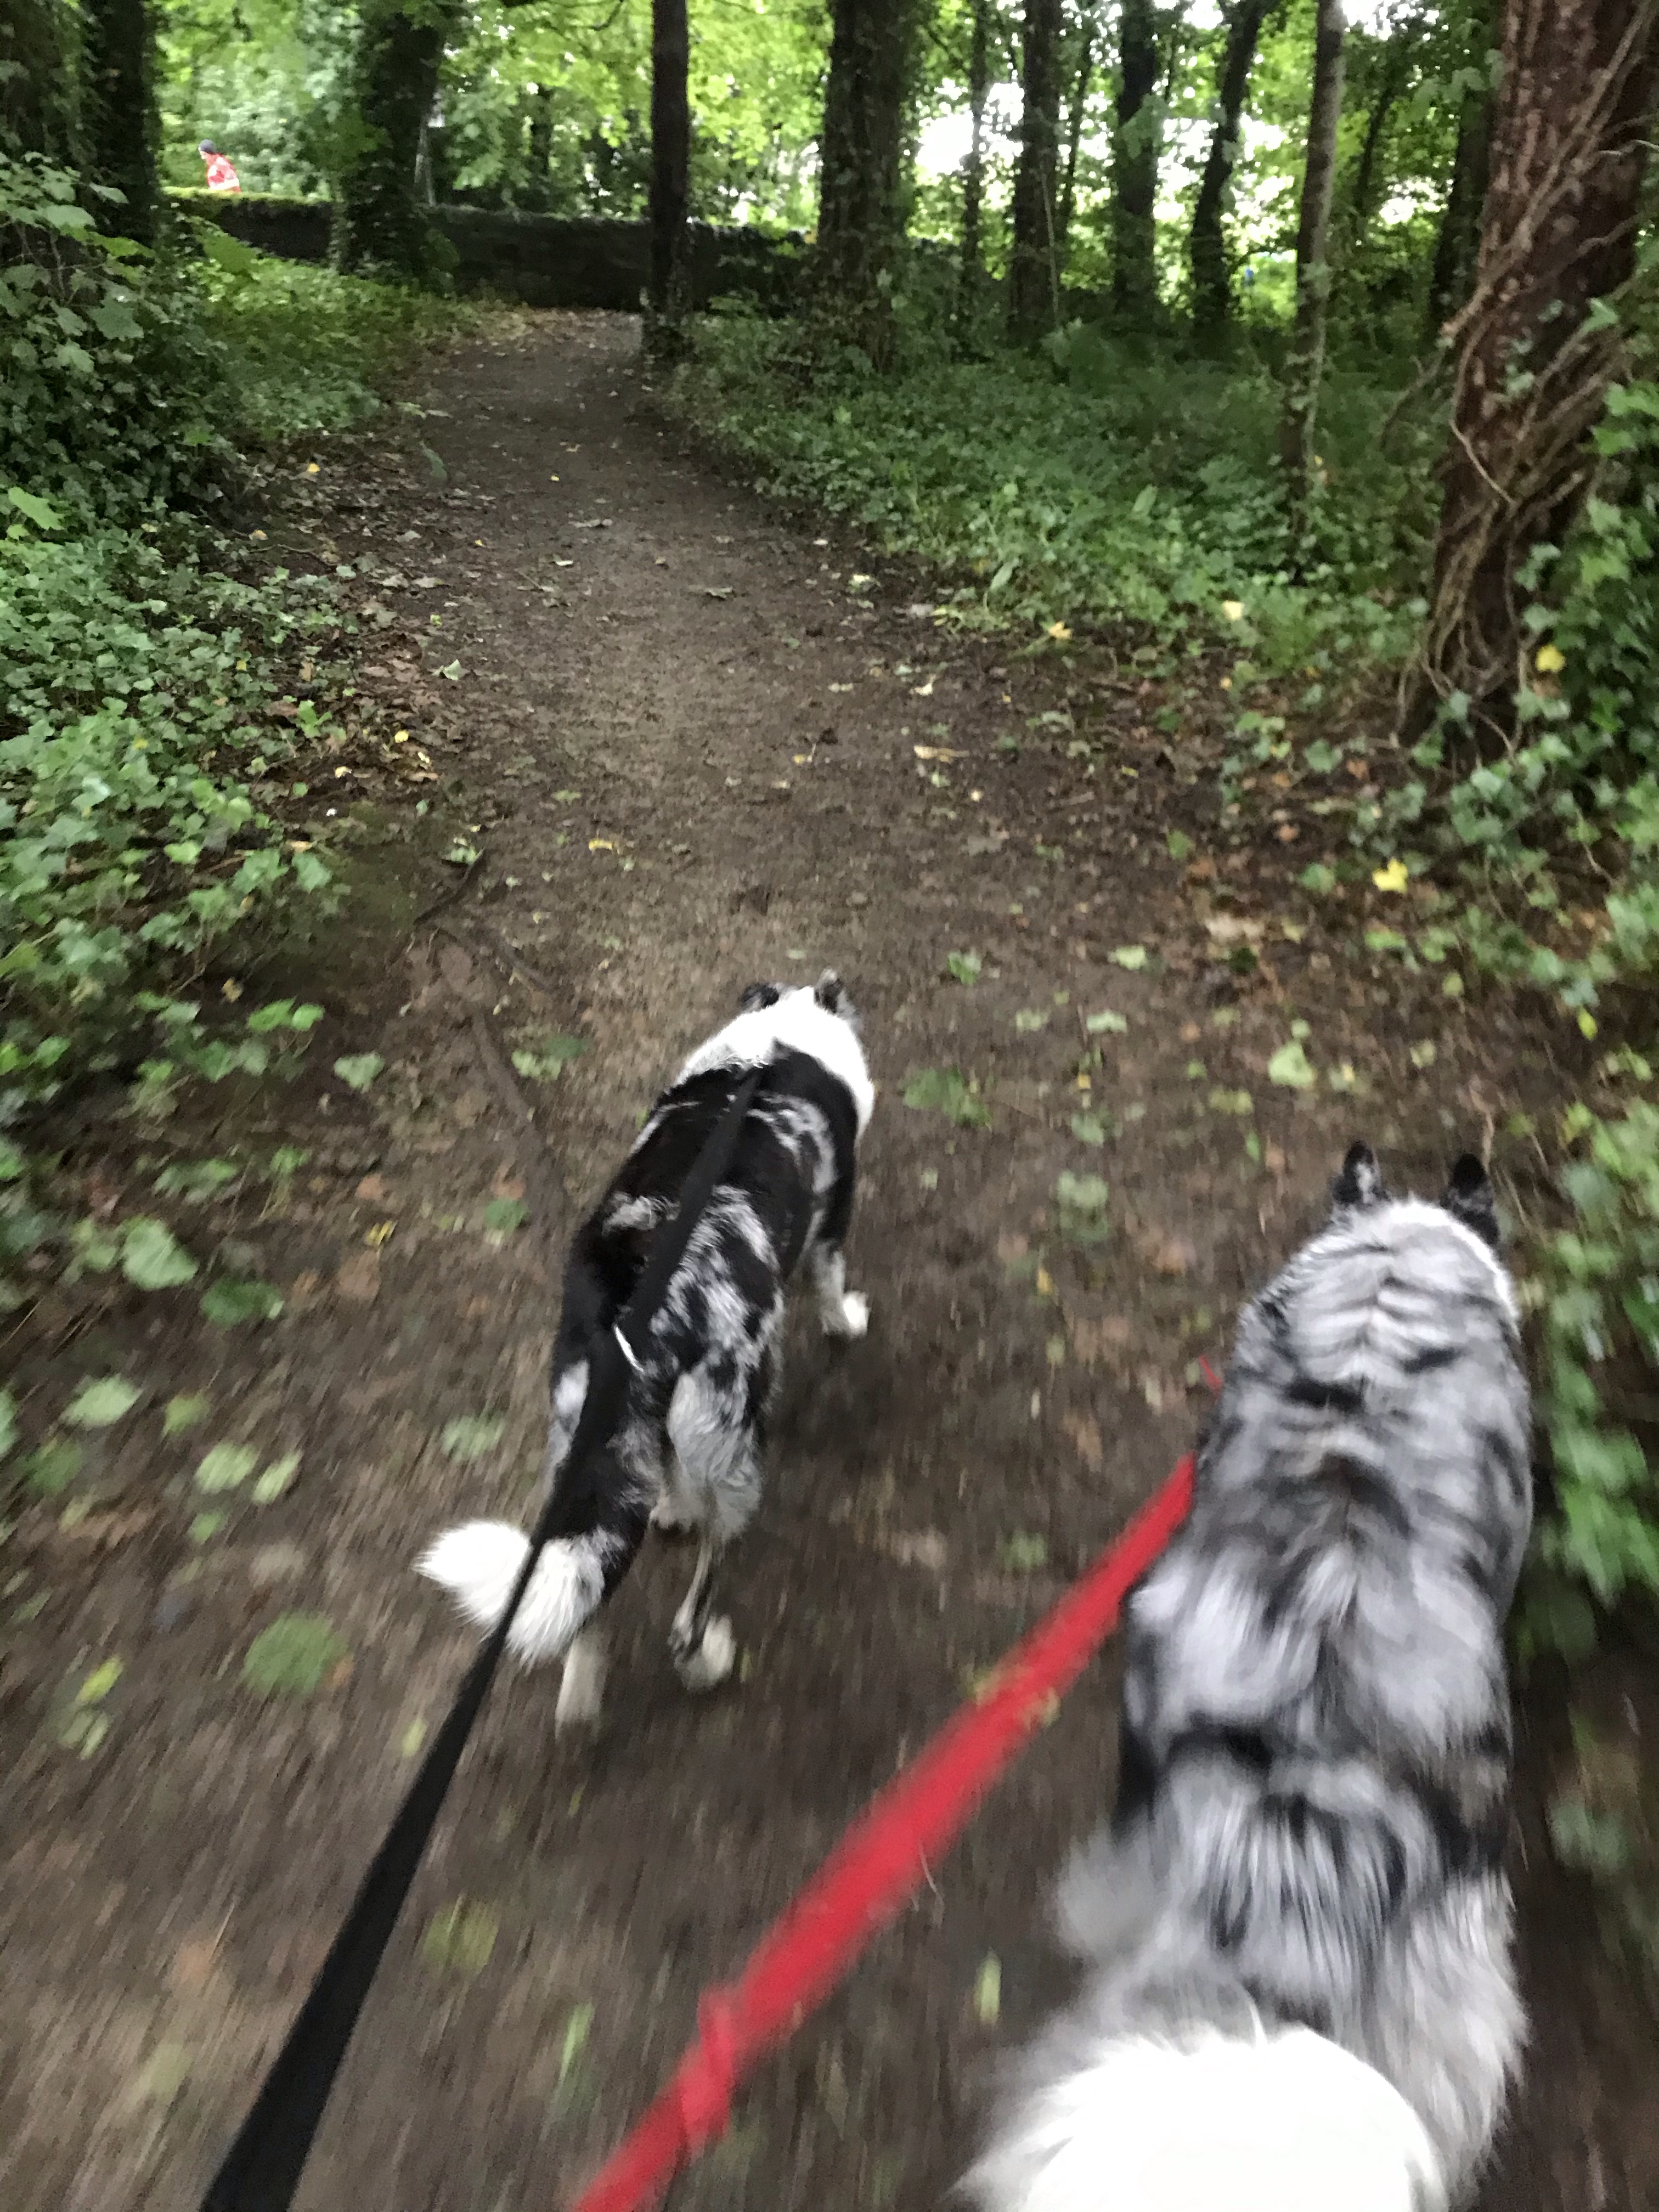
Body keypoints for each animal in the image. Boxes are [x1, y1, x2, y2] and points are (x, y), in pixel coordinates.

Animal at [418, 971, 874, 1733]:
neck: (776, 1046)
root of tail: (642, 1315)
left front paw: (671, 1509)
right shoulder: (831, 1229)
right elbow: (835, 1293)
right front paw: (850, 1322)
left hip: (580, 1450)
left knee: (585, 1597)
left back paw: (579, 1703)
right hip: (735, 1452)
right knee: (693, 1604)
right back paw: (706, 1662)